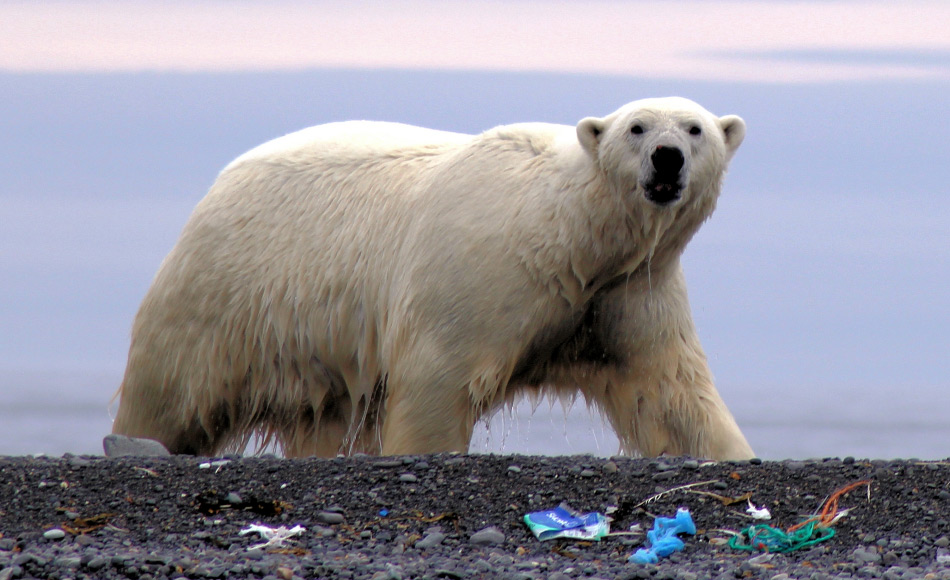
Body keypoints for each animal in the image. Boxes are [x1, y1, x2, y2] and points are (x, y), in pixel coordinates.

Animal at [111, 96, 756, 462]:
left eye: (695, 129)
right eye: (637, 128)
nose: (667, 157)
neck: (569, 235)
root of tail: (219, 184)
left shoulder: (628, 290)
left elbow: (671, 390)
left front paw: (727, 453)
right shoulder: (478, 268)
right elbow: (437, 379)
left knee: (324, 415)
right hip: (229, 295)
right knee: (167, 391)